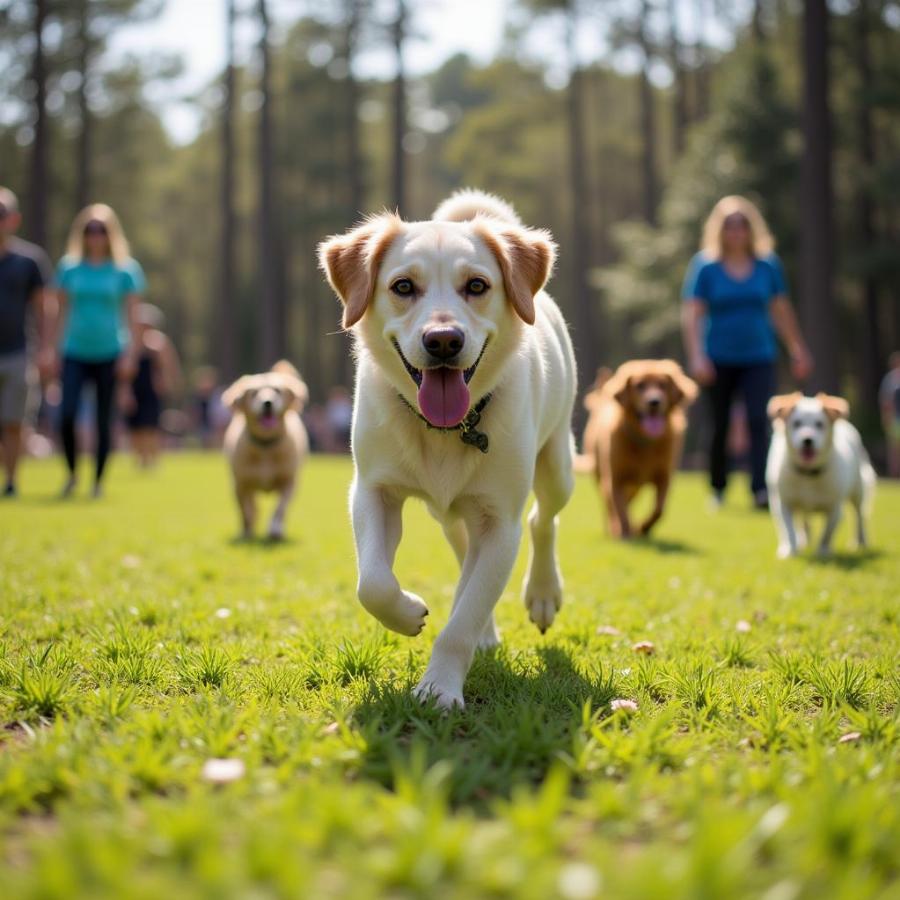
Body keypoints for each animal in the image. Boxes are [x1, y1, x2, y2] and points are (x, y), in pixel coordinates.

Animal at [221, 360, 310, 540]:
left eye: (277, 391)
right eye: (254, 393)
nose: (268, 403)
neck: (265, 449)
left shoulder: (288, 482)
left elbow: (279, 509)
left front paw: (275, 529)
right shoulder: (240, 484)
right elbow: (245, 511)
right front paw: (247, 532)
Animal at [580, 362, 700, 536]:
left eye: (663, 385)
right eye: (640, 386)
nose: (654, 402)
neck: (645, 443)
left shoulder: (664, 477)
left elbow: (659, 509)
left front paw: (644, 528)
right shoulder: (615, 478)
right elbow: (620, 510)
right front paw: (624, 531)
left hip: (635, 486)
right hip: (600, 473)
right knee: (609, 504)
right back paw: (614, 528)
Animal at [764, 392, 876, 556]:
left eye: (819, 424)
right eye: (796, 423)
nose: (807, 440)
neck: (807, 474)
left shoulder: (835, 508)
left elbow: (827, 533)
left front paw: (823, 551)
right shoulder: (783, 503)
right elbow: (788, 530)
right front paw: (790, 550)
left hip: (858, 490)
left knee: (859, 515)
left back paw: (861, 541)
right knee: (803, 521)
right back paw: (803, 541)